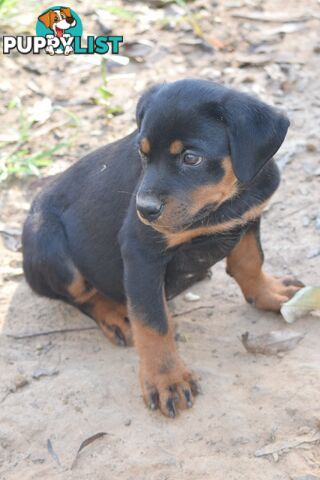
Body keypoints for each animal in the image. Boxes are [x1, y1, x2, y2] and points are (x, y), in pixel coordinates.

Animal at [21, 79, 302, 416]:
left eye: (191, 158)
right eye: (142, 154)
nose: (144, 209)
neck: (223, 204)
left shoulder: (248, 218)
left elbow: (250, 261)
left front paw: (270, 293)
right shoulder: (141, 251)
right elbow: (152, 321)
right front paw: (166, 379)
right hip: (48, 243)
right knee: (80, 294)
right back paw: (115, 315)